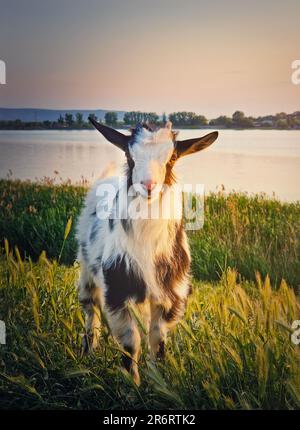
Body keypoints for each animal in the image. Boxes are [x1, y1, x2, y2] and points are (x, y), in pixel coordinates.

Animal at [76, 117, 218, 382]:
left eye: (172, 158)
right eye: (129, 156)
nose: (148, 185)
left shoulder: (169, 295)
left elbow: (157, 339)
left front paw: (158, 378)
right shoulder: (117, 290)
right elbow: (131, 341)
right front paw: (131, 382)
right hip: (87, 272)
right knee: (91, 311)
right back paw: (87, 352)